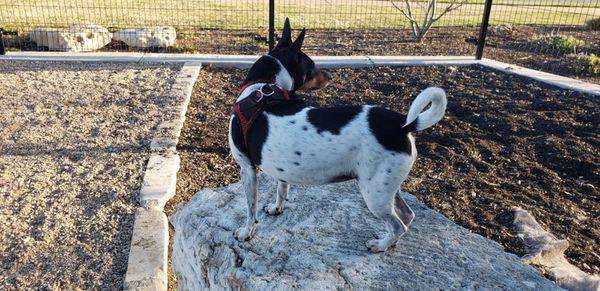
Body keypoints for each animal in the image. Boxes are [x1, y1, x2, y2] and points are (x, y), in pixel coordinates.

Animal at [230, 20, 446, 253]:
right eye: (312, 67)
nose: (331, 76)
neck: (262, 87)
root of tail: (403, 125)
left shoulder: (247, 169)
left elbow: (250, 209)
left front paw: (246, 232)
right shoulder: (280, 167)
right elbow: (282, 188)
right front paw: (277, 208)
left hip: (375, 194)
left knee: (398, 224)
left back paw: (380, 245)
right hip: (387, 186)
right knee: (407, 215)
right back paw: (391, 243)